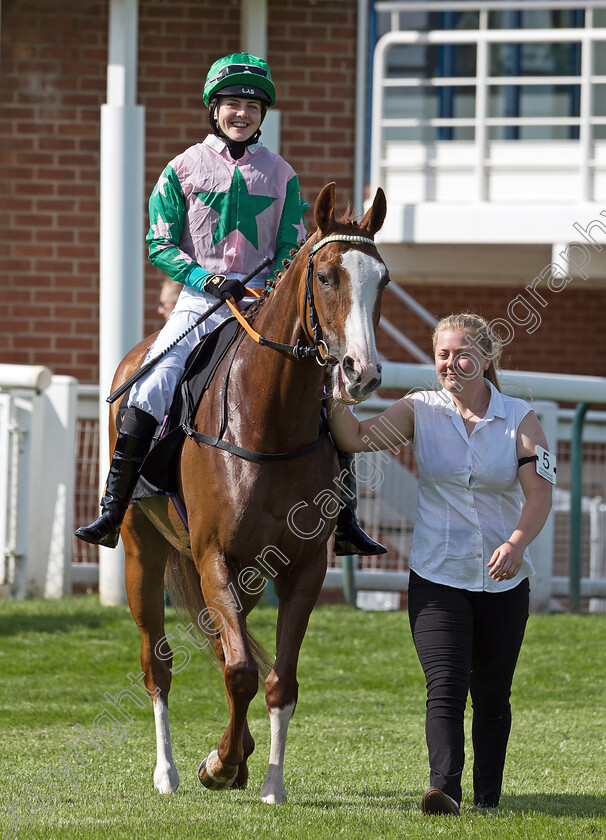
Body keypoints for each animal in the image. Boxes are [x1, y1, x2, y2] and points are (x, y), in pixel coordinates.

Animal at [110, 182, 390, 800]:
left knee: (221, 646)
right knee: (158, 661)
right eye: (327, 276)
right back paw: (167, 771)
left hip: (251, 576)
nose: (361, 373)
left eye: (382, 279)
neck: (268, 421)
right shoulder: (213, 553)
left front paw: (266, 780)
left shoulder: (302, 566)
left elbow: (277, 679)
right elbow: (240, 671)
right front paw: (220, 765)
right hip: (144, 551)